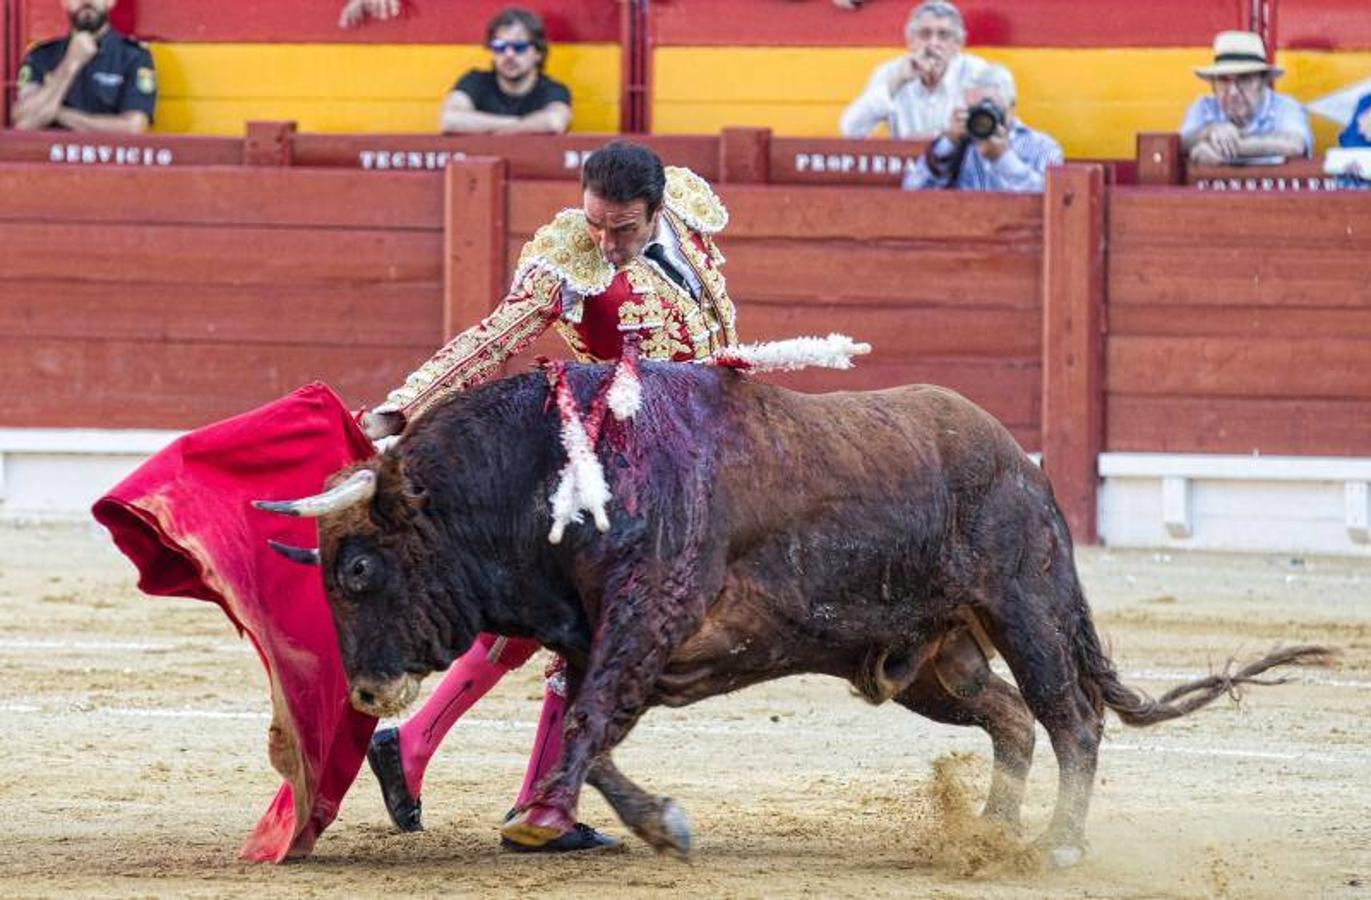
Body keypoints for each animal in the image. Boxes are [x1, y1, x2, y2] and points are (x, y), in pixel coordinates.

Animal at [255, 362, 1327, 867]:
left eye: (358, 569)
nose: (362, 689)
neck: (552, 474)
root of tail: (1019, 462)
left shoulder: (645, 620)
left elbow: (590, 725)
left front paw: (640, 824)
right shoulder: (607, 639)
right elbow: (585, 734)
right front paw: (609, 821)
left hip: (1022, 604)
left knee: (1071, 718)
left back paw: (1055, 844)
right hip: (933, 661)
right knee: (1010, 719)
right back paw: (988, 831)